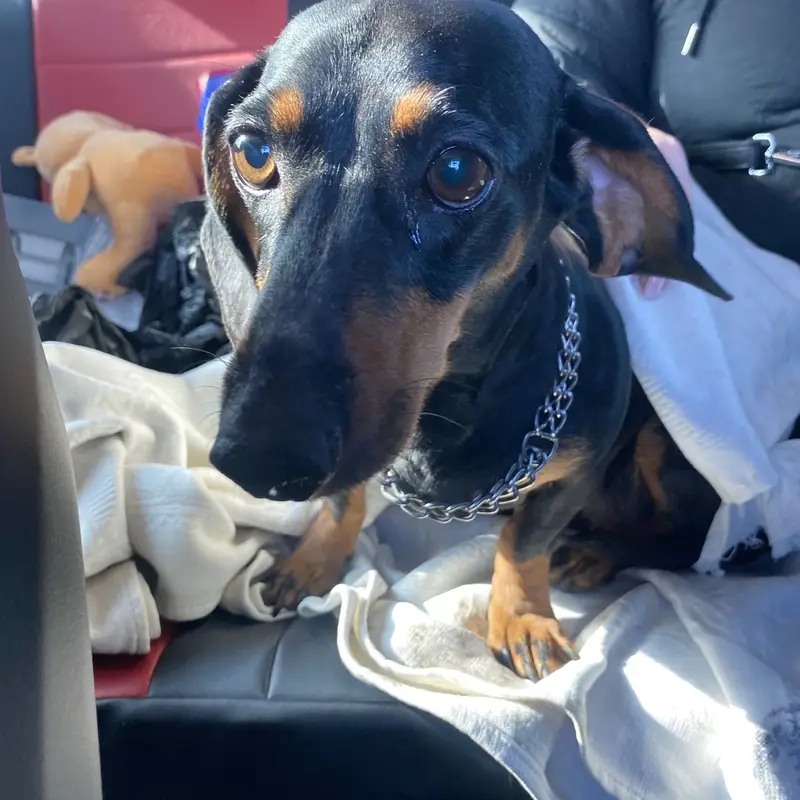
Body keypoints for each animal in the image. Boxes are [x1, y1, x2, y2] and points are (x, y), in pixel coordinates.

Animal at [200, 0, 731, 681]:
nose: (261, 459)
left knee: (682, 544)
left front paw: (524, 619)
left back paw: (597, 553)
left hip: (661, 446)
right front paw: (312, 561)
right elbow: (344, 502)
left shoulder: (577, 470)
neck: (446, 406)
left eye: (458, 171)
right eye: (252, 151)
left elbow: (524, 543)